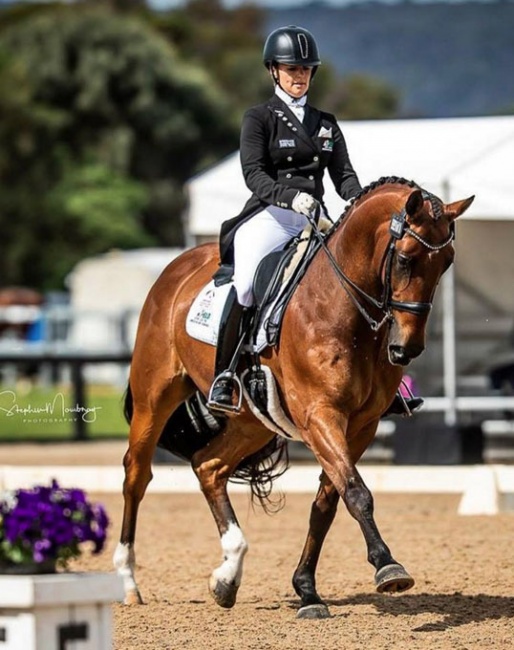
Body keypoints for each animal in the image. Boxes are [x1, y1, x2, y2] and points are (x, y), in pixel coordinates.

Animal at [115, 175, 472, 616]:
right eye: (405, 259)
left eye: (447, 262)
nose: (407, 348)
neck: (342, 307)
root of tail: (175, 268)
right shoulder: (320, 414)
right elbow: (356, 492)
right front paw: (388, 567)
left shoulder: (362, 424)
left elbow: (328, 502)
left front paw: (307, 590)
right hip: (154, 398)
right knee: (136, 475)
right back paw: (129, 582)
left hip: (252, 421)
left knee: (208, 466)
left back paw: (227, 577)